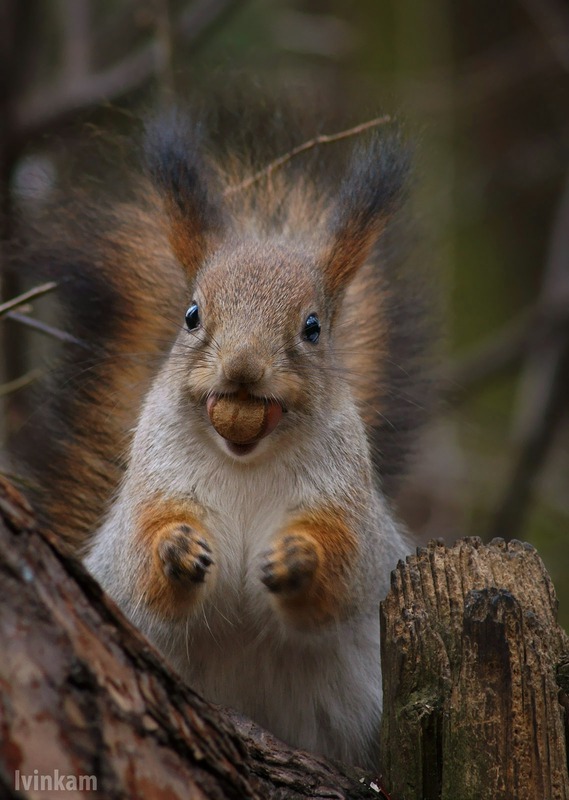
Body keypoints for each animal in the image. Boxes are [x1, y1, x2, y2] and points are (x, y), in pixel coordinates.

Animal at [12, 98, 430, 768]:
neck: (245, 459)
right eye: (191, 315)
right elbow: (144, 565)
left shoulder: (347, 506)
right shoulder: (153, 487)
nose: (242, 369)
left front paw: (299, 557)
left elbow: (343, 572)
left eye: (313, 327)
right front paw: (176, 549)